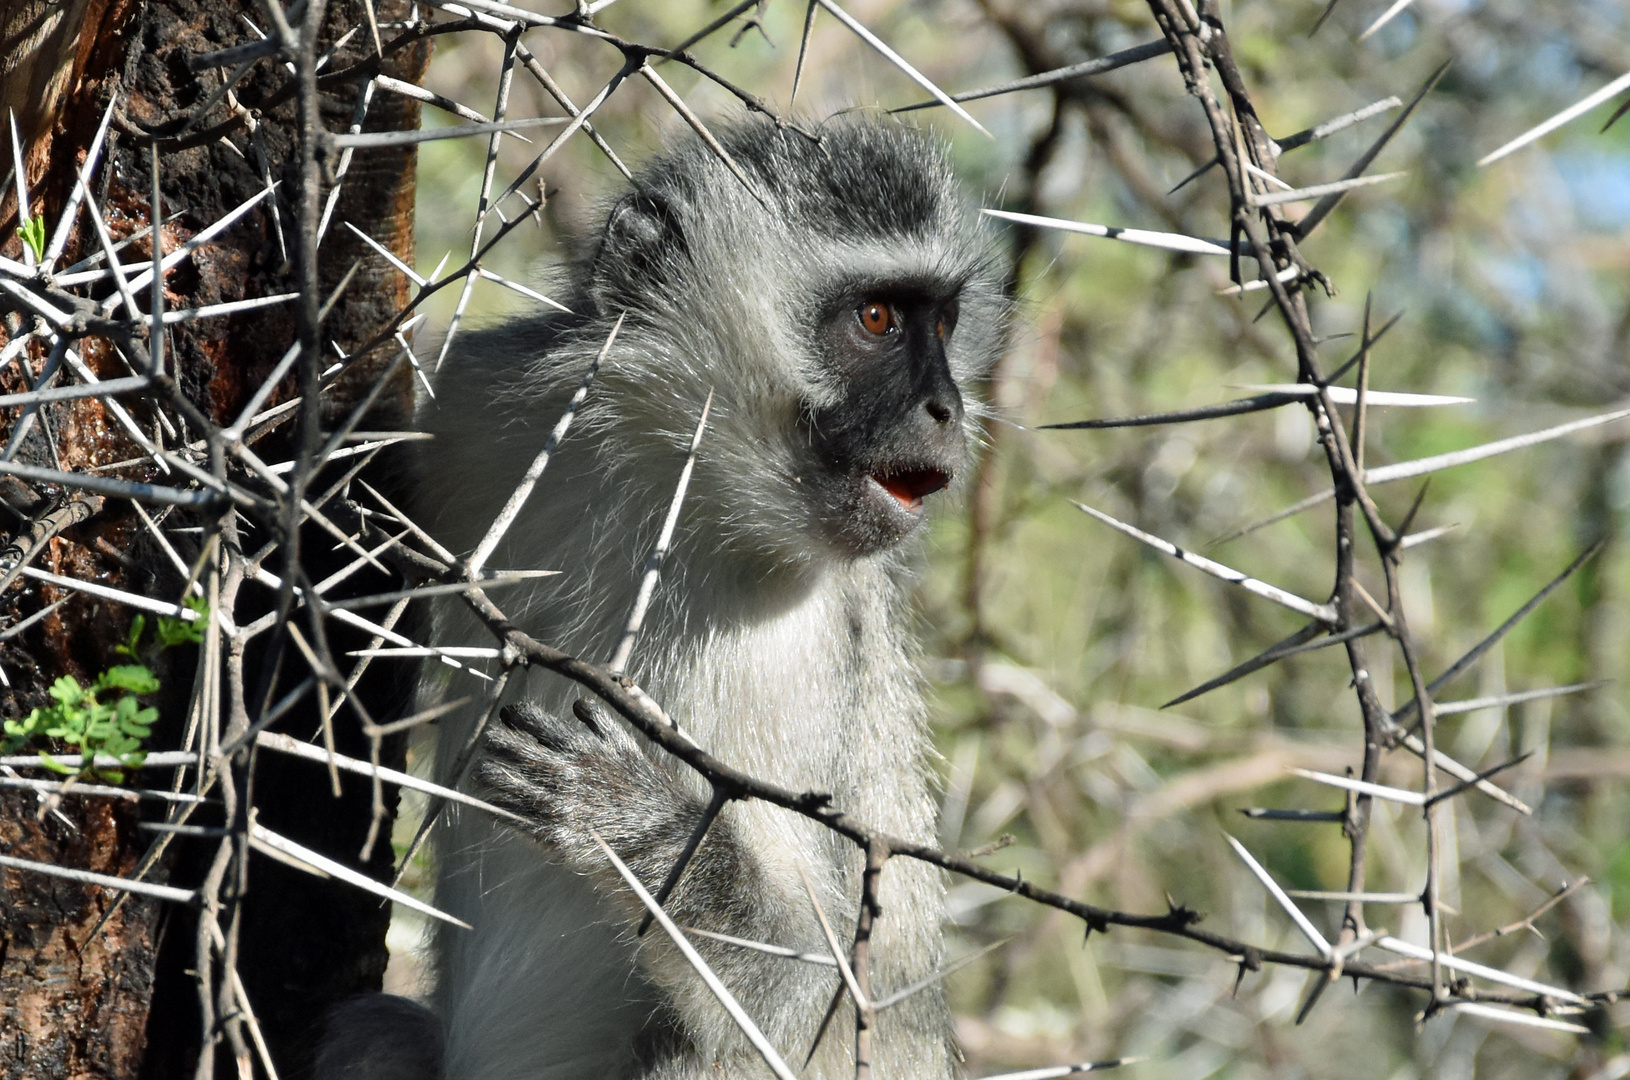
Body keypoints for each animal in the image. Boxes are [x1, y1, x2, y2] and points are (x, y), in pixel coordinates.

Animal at [327, 116, 1004, 1080]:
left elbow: (808, 986)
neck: (672, 491)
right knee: (369, 1034)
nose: (949, 407)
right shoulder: (479, 402)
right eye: (877, 319)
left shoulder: (797, 649)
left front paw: (635, 822)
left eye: (942, 323)